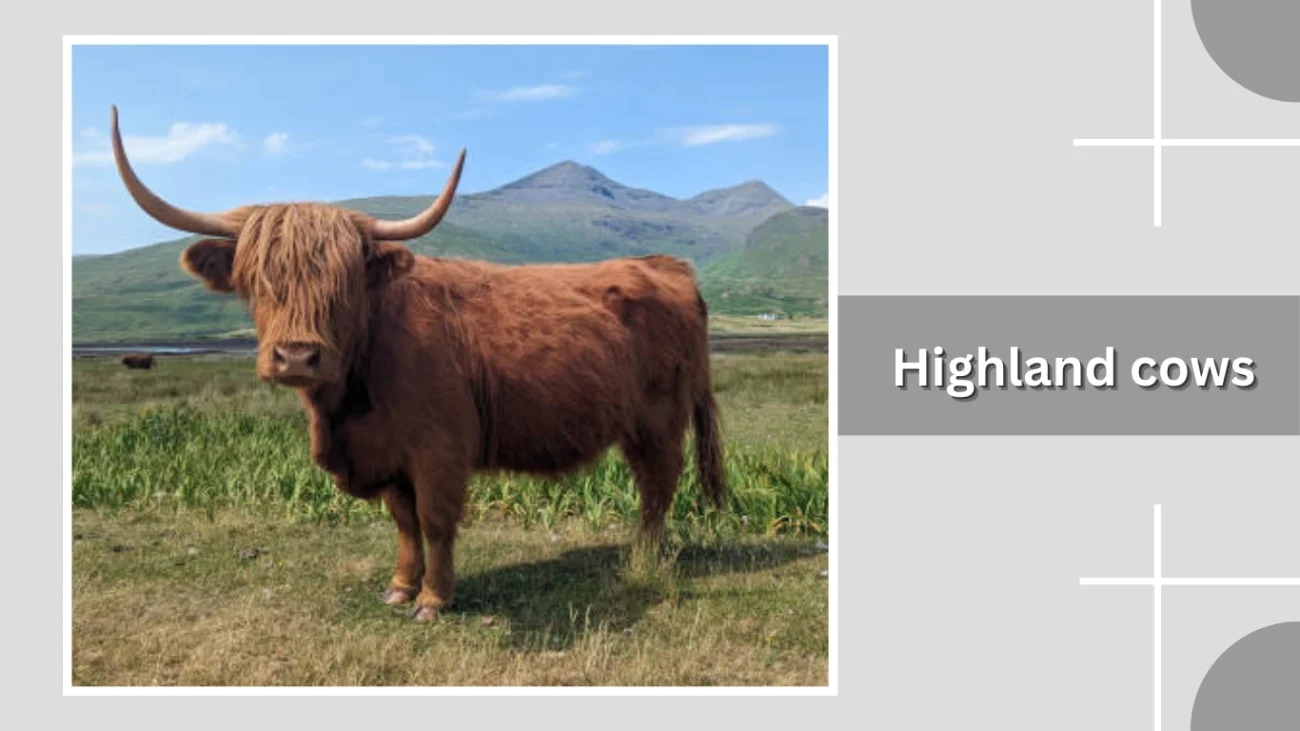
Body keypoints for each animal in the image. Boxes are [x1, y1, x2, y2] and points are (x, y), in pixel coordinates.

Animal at [108, 106, 726, 621]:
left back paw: (644, 556)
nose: (297, 356)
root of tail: (665, 265)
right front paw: (401, 587)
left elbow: (434, 519)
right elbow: (404, 523)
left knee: (657, 484)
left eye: (345, 282)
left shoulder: (439, 449)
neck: (350, 400)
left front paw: (433, 599)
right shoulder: (386, 455)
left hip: (659, 420)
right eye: (257, 281)